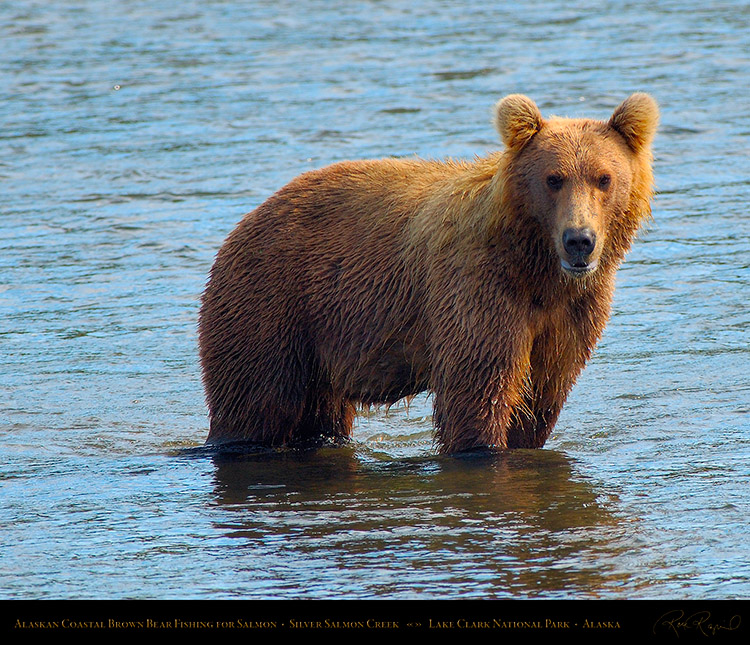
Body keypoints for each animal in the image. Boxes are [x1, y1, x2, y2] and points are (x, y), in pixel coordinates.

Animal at [198, 93, 656, 452]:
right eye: (553, 178)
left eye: (604, 178)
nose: (579, 240)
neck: (535, 269)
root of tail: (246, 221)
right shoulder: (478, 288)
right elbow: (478, 389)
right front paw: (481, 444)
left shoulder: (571, 314)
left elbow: (540, 396)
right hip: (271, 304)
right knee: (255, 402)